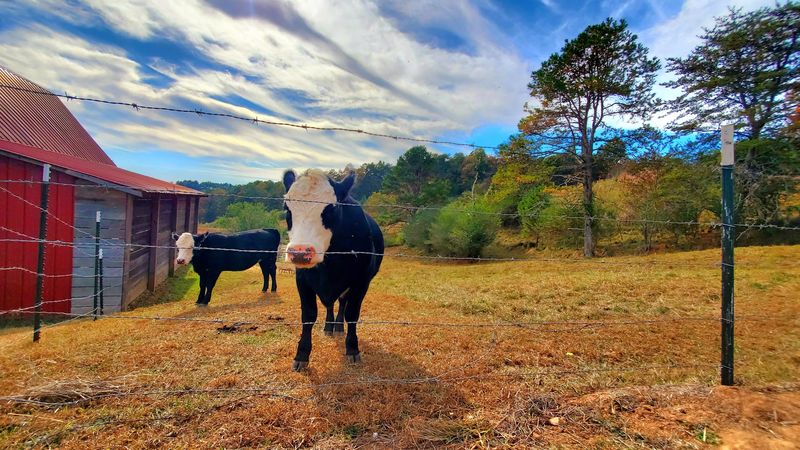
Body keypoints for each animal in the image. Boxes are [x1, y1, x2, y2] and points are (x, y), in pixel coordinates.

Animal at [282, 169, 383, 371]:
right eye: (287, 209)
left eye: (331, 209)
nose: (299, 253)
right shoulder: (302, 280)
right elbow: (308, 315)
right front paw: (301, 355)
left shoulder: (361, 282)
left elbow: (352, 314)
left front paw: (352, 349)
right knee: (330, 304)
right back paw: (329, 326)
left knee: (342, 303)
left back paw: (338, 327)